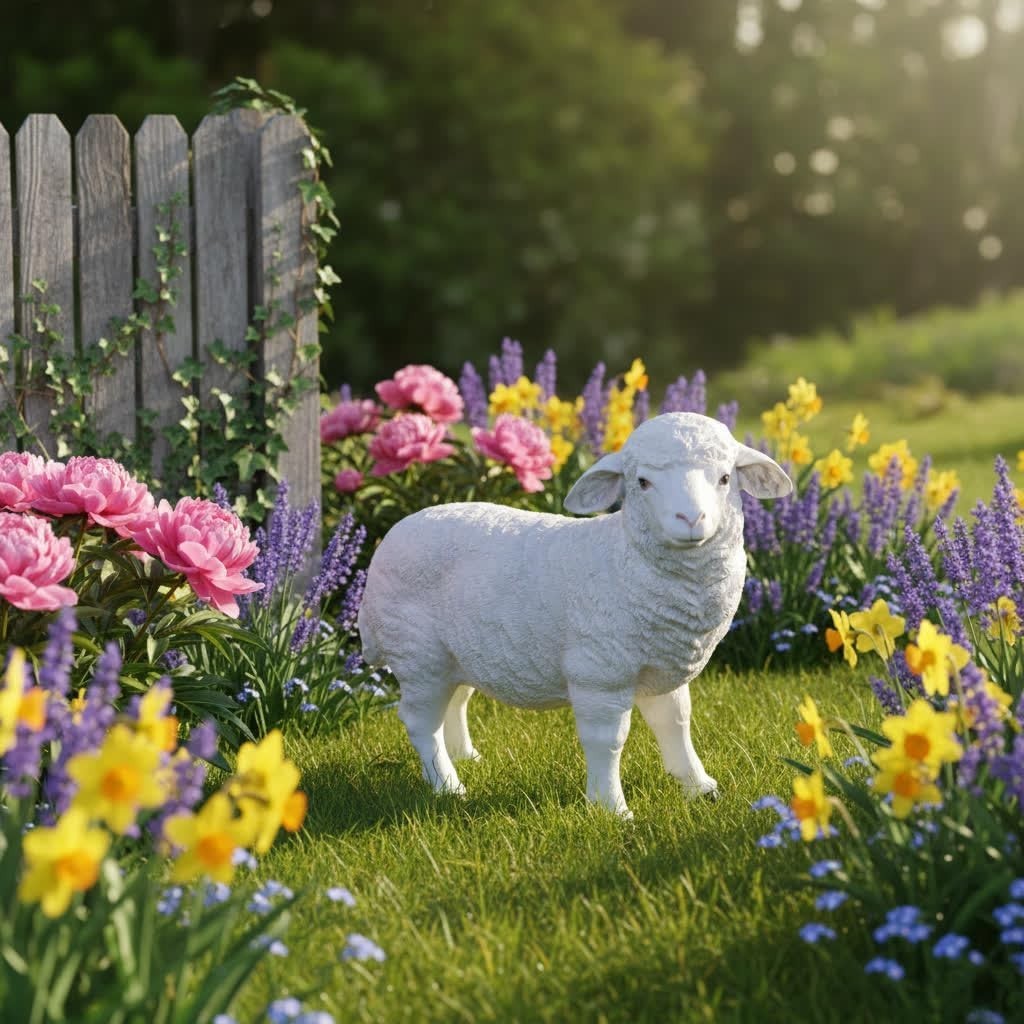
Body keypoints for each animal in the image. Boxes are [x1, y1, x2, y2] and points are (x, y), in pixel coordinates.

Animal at [357, 411, 792, 817]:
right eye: (642, 483)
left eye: (725, 478)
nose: (691, 520)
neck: (623, 555)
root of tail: (388, 542)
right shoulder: (600, 673)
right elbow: (607, 740)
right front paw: (611, 809)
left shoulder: (661, 665)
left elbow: (676, 722)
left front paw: (700, 787)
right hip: (417, 653)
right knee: (419, 721)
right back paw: (448, 785)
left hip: (459, 652)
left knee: (456, 700)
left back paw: (467, 758)